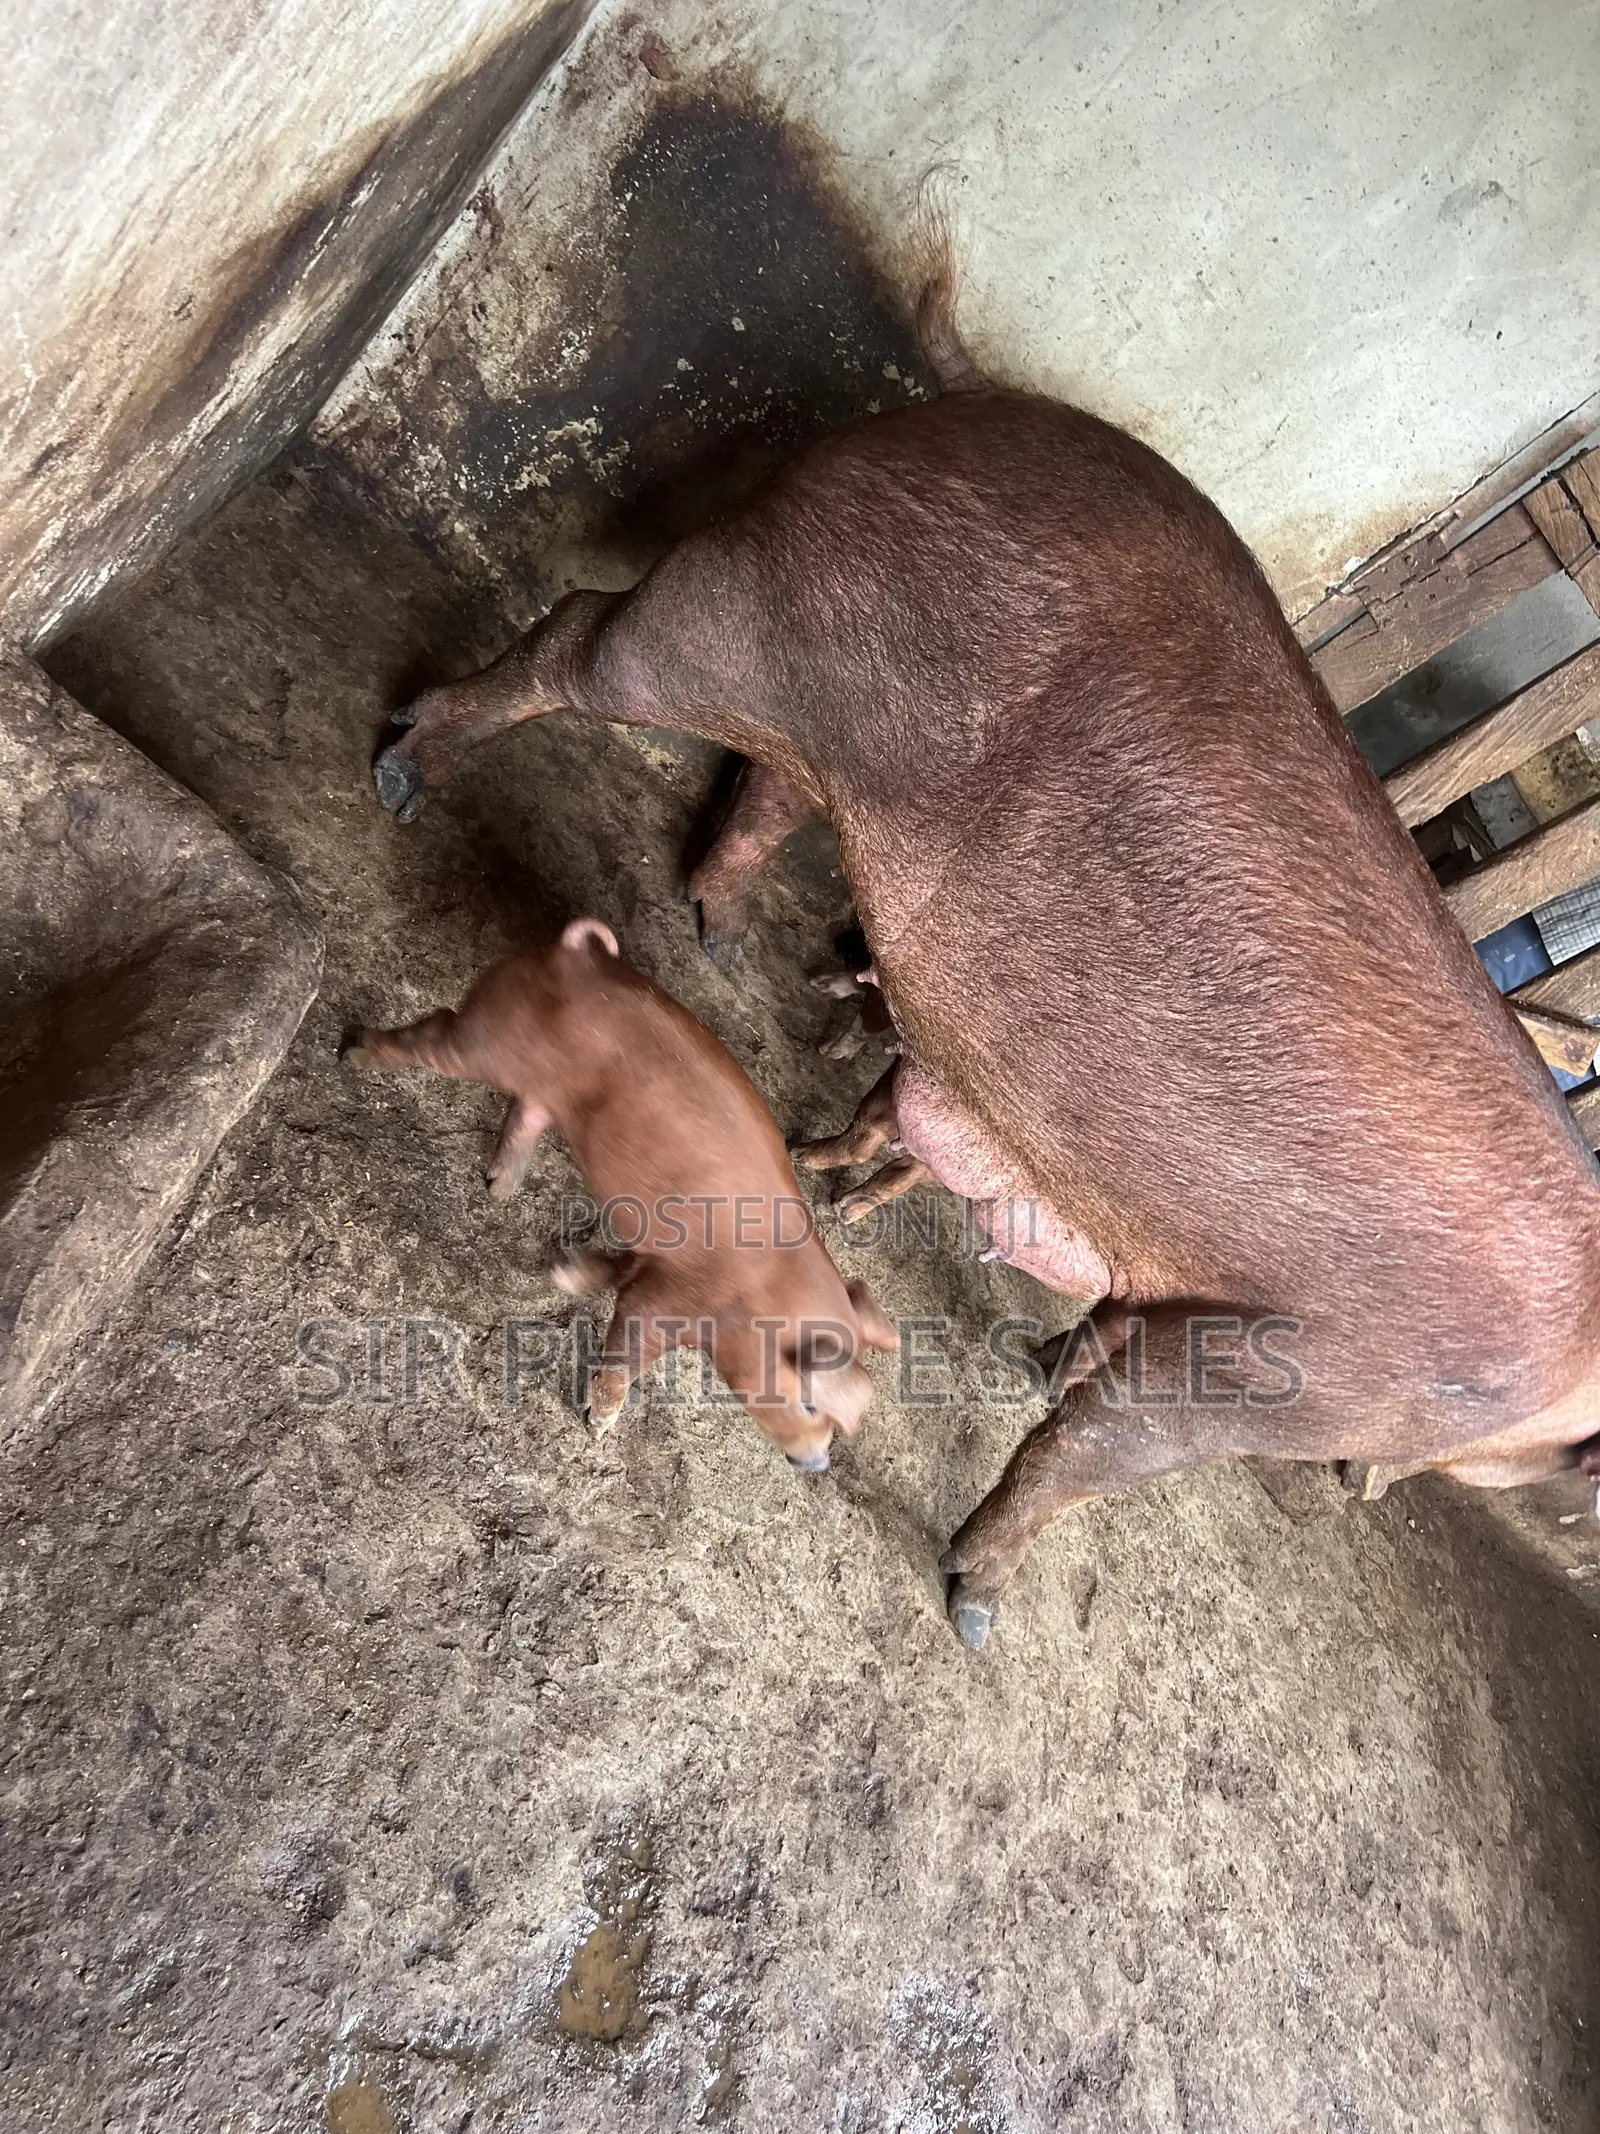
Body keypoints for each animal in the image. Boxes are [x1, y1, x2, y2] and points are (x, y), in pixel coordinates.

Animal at [343, 918, 899, 1469]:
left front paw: (564, 1271)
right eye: (809, 1403)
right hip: (486, 1041)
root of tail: (578, 958)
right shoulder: (669, 1297)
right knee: (439, 1031)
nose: (816, 1463)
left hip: (541, 1085)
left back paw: (499, 1187)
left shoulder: (655, 1257)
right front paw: (597, 1427)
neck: (763, 1297)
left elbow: (616, 1269)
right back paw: (354, 1053)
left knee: (527, 1111)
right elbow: (629, 1349)